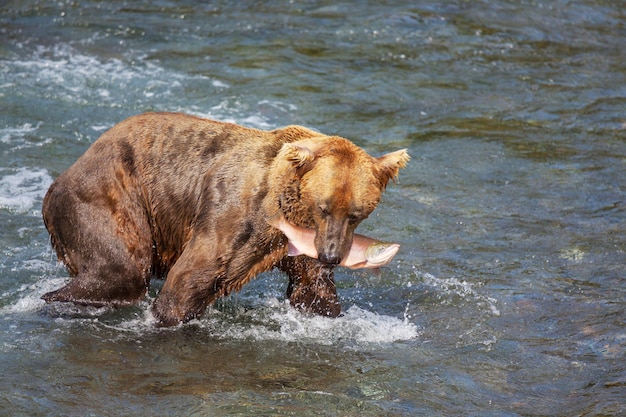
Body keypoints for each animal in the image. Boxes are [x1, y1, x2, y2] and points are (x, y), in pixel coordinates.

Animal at [40, 111, 410, 324]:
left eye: (356, 214)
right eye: (324, 206)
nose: (332, 256)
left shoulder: (303, 242)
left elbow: (312, 292)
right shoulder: (232, 216)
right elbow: (187, 281)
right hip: (109, 195)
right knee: (120, 270)